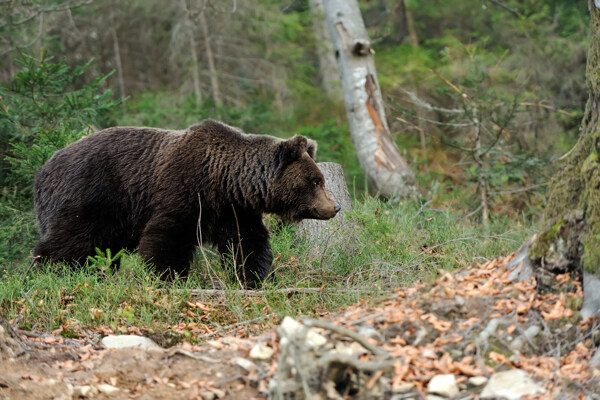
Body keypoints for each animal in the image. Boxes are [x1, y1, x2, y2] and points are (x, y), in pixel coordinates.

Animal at [32, 119, 340, 288]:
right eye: (315, 181)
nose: (335, 207)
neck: (225, 182)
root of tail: (43, 169)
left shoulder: (235, 211)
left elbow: (247, 245)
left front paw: (257, 278)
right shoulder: (184, 191)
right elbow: (167, 239)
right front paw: (167, 278)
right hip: (91, 196)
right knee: (70, 240)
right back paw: (47, 272)